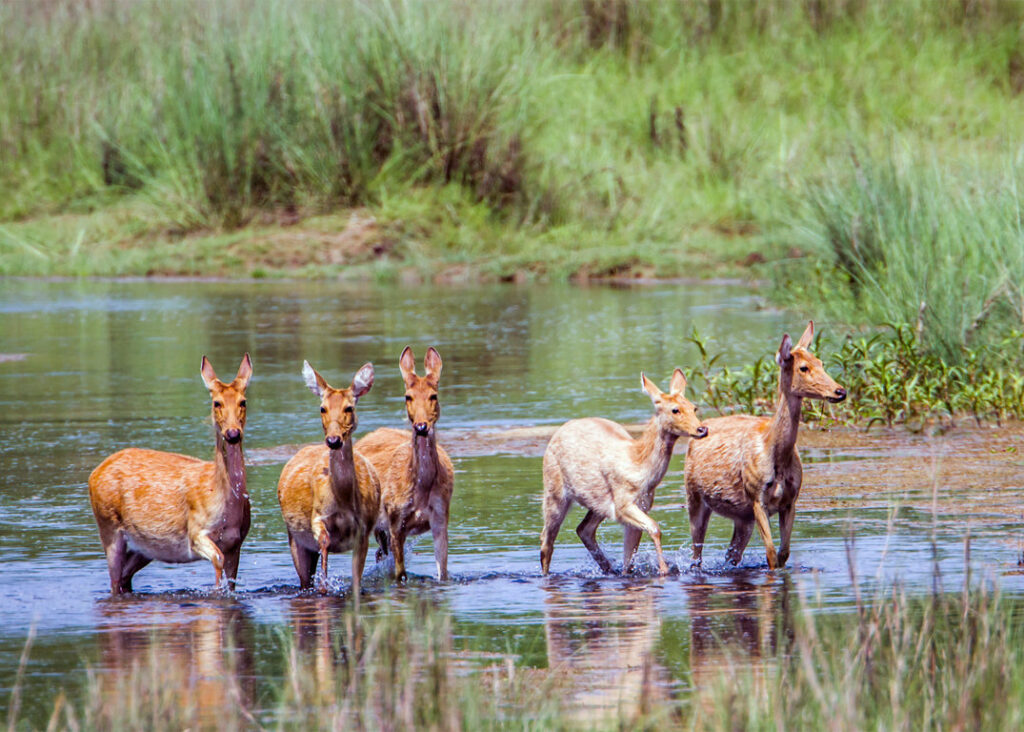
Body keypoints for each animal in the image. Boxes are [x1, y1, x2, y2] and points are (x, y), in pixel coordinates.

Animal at [90, 354, 253, 593]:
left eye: (243, 401)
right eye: (216, 402)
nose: (233, 434)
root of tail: (94, 473)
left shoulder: (236, 542)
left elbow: (230, 579)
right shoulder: (195, 531)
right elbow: (217, 559)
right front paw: (215, 591)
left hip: (145, 546)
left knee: (124, 578)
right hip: (108, 526)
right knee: (114, 580)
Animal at [276, 360, 380, 593]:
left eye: (349, 408)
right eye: (322, 408)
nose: (334, 440)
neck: (343, 499)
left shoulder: (364, 529)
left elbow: (357, 581)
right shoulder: (317, 515)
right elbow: (324, 541)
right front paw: (324, 587)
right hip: (294, 538)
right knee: (304, 578)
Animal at [360, 346, 456, 581]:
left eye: (433, 395)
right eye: (408, 397)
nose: (421, 426)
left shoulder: (441, 516)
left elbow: (443, 573)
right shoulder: (395, 520)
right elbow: (400, 574)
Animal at [540, 372, 708, 577]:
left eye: (694, 407)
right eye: (675, 410)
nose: (702, 429)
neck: (639, 467)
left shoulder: (642, 504)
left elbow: (630, 558)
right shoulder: (622, 503)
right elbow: (655, 527)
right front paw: (663, 569)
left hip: (597, 503)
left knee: (583, 529)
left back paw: (608, 569)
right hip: (554, 491)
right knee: (547, 540)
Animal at [684, 321, 843, 573]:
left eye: (821, 362)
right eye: (803, 368)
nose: (840, 391)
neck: (776, 454)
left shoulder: (790, 501)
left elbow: (783, 554)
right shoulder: (757, 497)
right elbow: (770, 554)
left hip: (742, 517)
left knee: (732, 554)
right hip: (694, 498)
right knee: (696, 555)